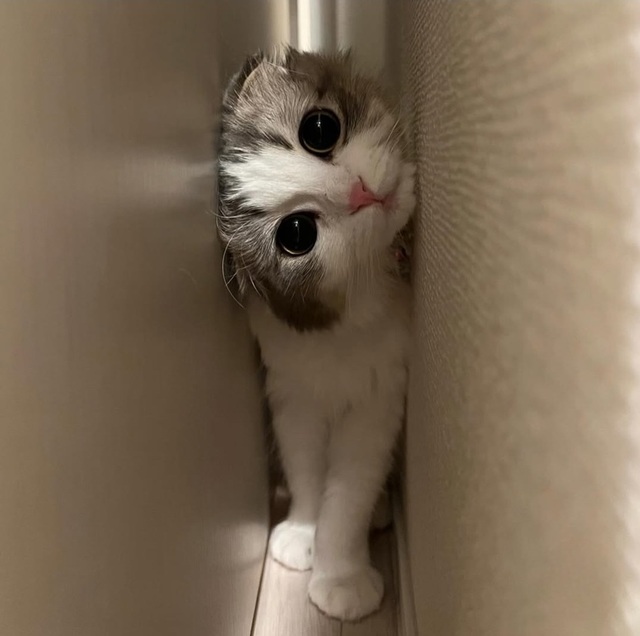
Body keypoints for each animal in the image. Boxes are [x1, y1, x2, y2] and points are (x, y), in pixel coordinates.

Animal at [217, 46, 415, 621]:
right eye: (297, 234)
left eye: (320, 129)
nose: (361, 194)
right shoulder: (295, 397)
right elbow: (307, 477)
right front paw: (304, 537)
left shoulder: (375, 402)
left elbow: (345, 501)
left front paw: (341, 576)